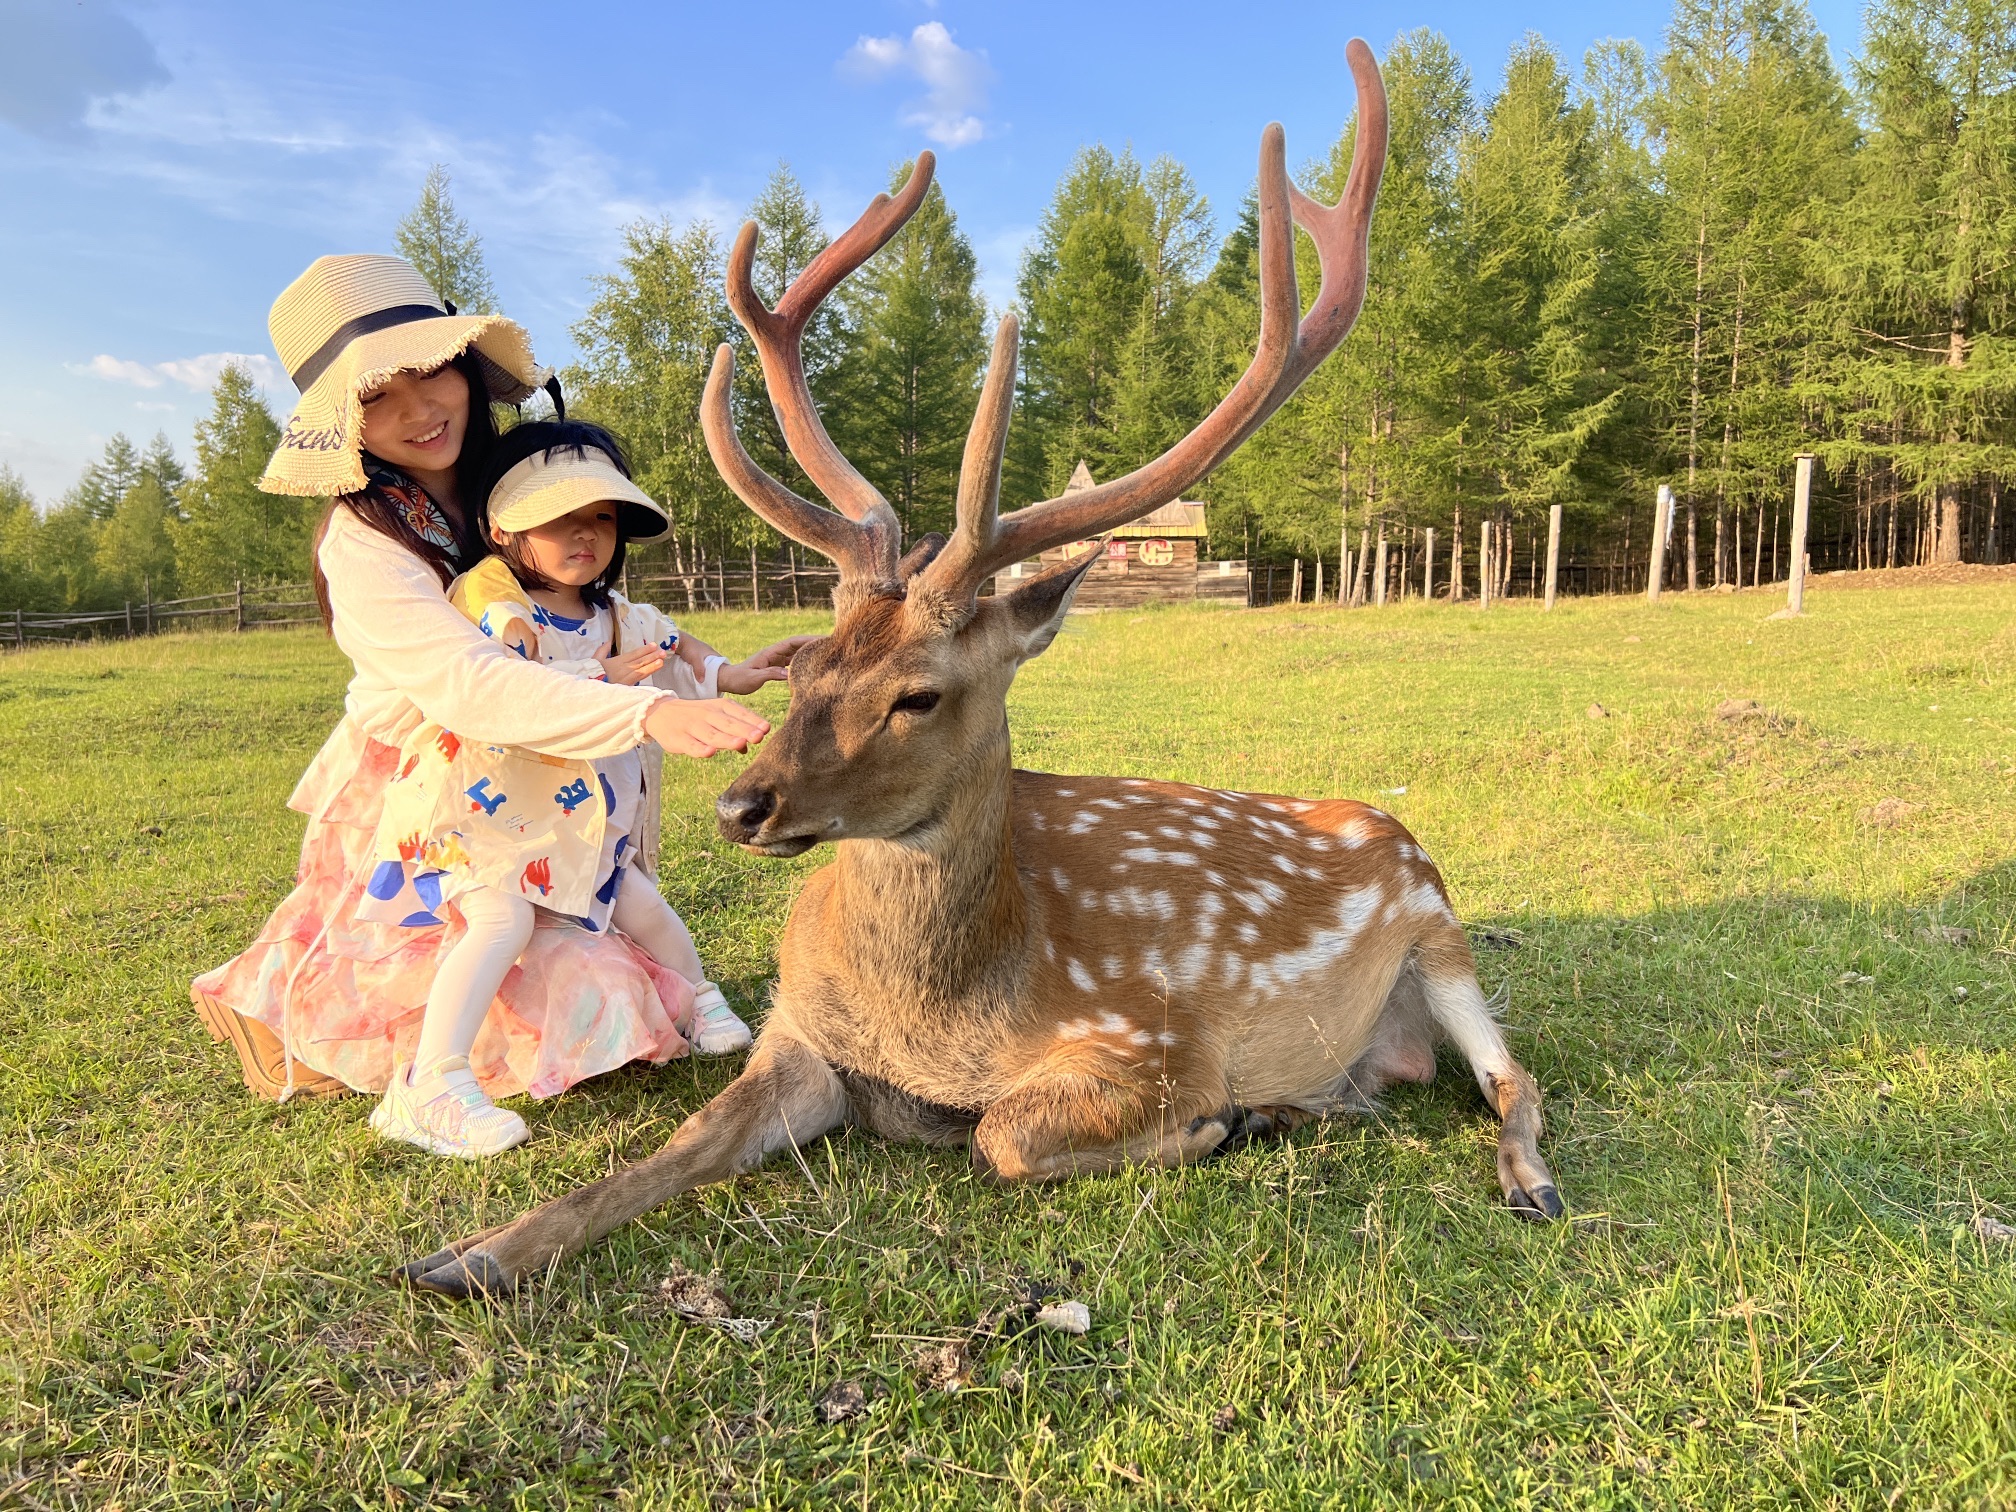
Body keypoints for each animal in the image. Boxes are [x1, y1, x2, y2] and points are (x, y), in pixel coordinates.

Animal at [402, 41, 1563, 1300]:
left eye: (919, 693)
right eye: (804, 664)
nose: (741, 805)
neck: (936, 1021)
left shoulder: (1159, 1041)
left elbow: (1004, 1134)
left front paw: (1217, 1122)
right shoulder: (798, 1037)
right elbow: (673, 1145)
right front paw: (464, 1255)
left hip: (1439, 925)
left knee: (1515, 1077)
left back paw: (1510, 1177)